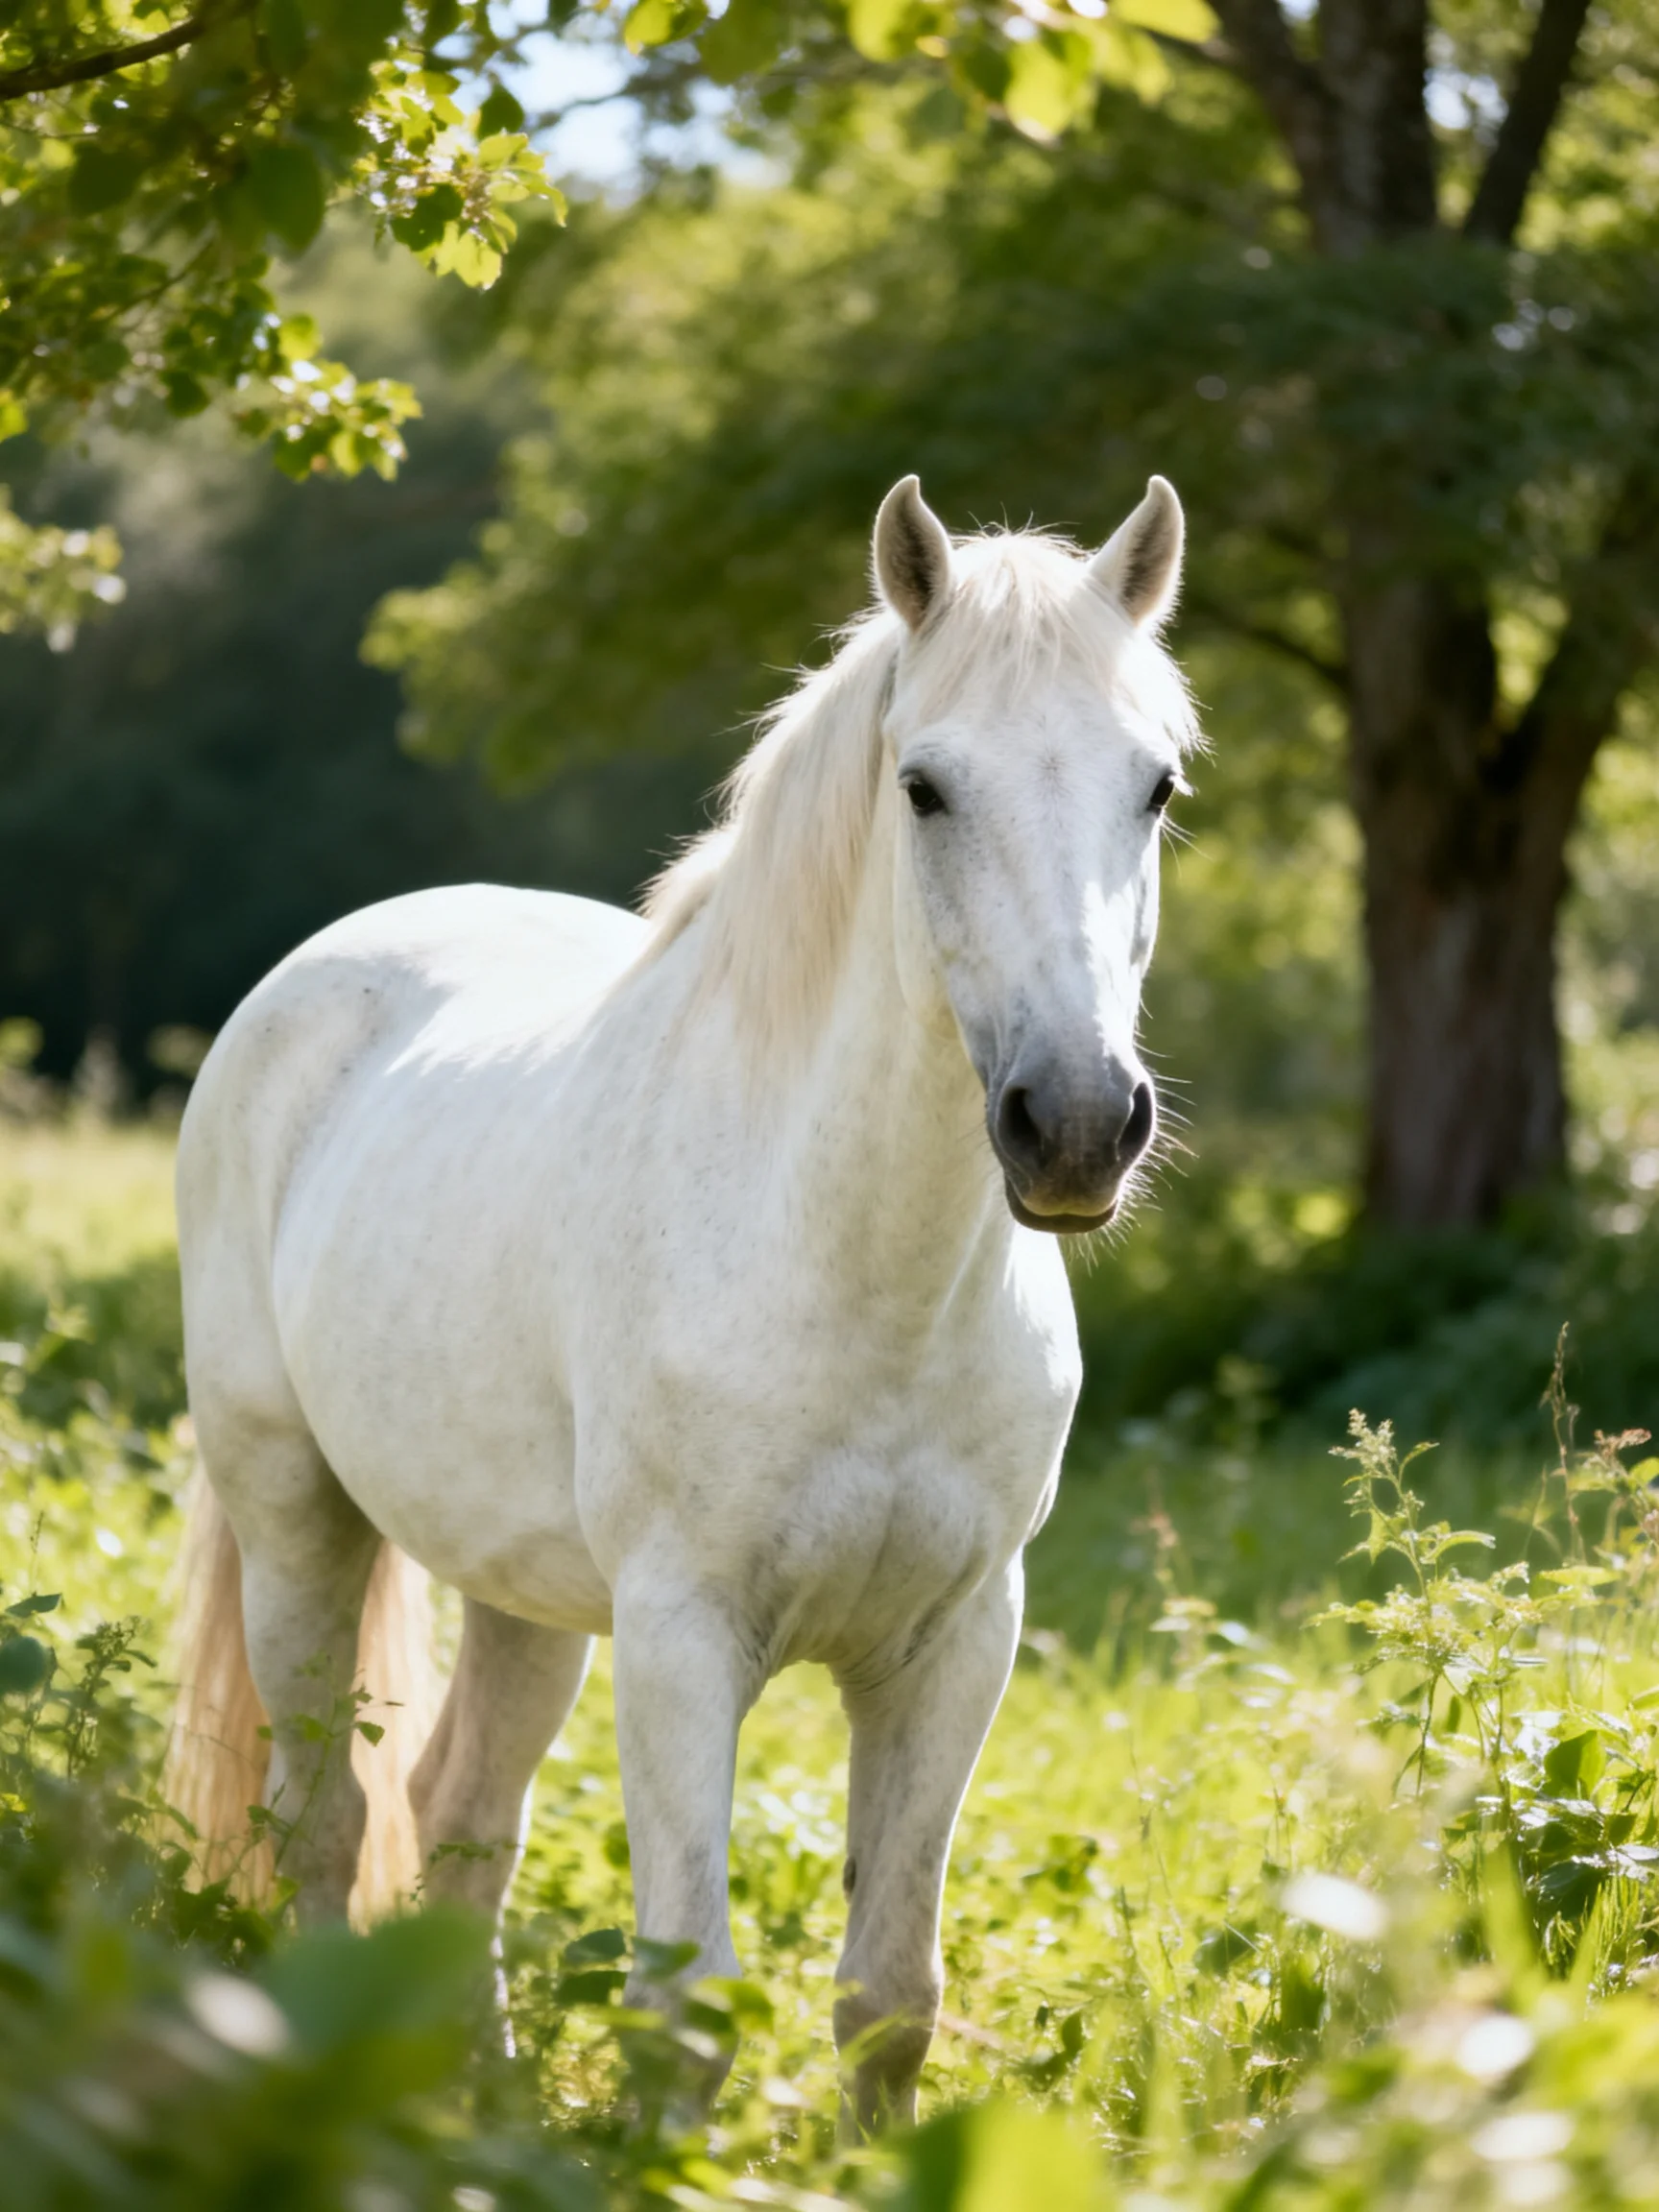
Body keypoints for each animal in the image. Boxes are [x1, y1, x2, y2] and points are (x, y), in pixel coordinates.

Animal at [166, 472, 1197, 2131]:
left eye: (1154, 786)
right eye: (926, 788)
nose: (1080, 1125)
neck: (857, 1276)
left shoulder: (957, 1643)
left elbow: (889, 1997)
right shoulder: (682, 1638)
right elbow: (689, 1999)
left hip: (522, 1596)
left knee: (463, 1817)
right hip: (296, 1525)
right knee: (326, 1824)